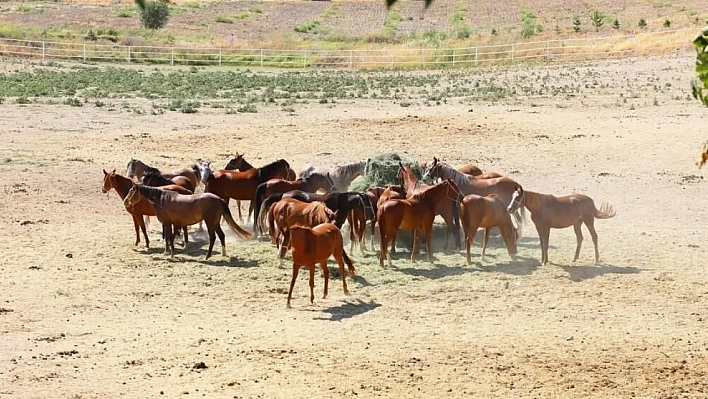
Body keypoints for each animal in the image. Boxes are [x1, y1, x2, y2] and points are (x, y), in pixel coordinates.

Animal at [123, 184, 253, 260]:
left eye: (131, 191)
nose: (125, 202)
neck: (162, 200)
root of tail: (218, 199)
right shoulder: (174, 224)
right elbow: (171, 237)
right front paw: (171, 252)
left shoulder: (167, 223)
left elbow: (169, 237)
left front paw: (169, 253)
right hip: (215, 223)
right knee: (221, 235)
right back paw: (223, 254)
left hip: (210, 222)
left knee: (213, 237)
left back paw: (207, 256)